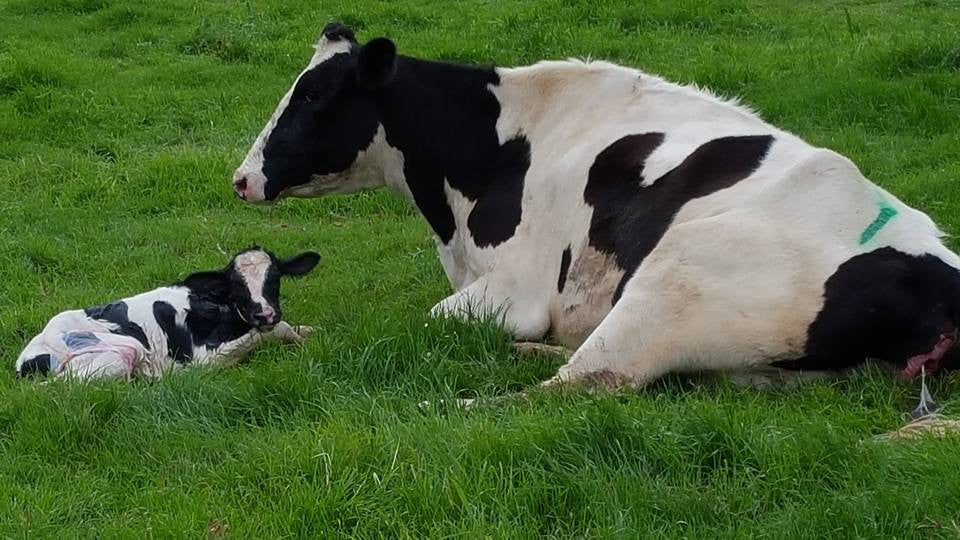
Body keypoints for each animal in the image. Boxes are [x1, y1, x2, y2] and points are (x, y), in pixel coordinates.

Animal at [15, 248, 320, 380]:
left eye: (275, 278)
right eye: (237, 287)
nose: (265, 314)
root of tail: (24, 359)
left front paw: (308, 333)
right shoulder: (204, 358)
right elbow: (272, 331)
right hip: (124, 349)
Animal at [231, 24, 960, 388]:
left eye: (314, 96)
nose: (241, 179)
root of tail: (937, 278)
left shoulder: (516, 292)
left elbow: (422, 320)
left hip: (676, 275)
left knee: (582, 384)